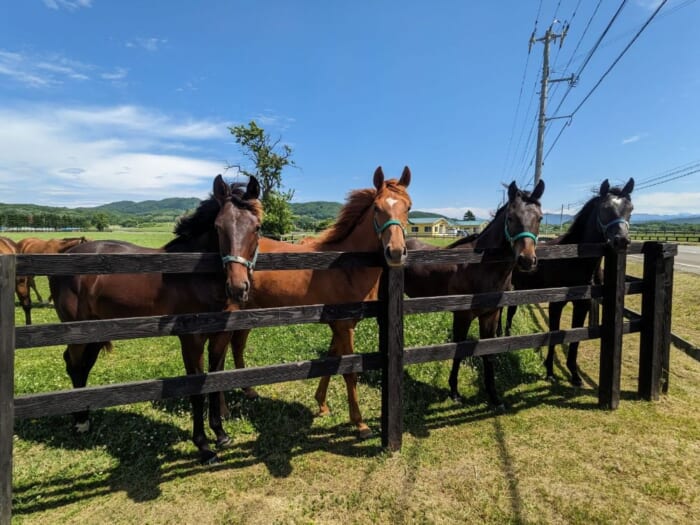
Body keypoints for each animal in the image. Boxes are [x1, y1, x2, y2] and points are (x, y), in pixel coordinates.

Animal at [49, 173, 262, 462]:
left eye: (257, 228)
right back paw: (80, 422)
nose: (238, 288)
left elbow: (215, 382)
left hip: (96, 328)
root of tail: (67, 254)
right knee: (73, 363)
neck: (196, 278)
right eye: (218, 228)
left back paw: (84, 417)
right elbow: (196, 389)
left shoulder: (221, 335)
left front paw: (221, 434)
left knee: (83, 365)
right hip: (77, 330)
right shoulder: (192, 339)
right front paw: (203, 446)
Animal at [216, 166, 412, 440]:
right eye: (376, 207)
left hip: (249, 311)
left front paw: (321, 403)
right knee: (219, 357)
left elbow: (330, 361)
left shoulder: (341, 324)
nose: (395, 252)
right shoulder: (344, 325)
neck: (346, 267)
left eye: (409, 208)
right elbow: (349, 370)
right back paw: (223, 410)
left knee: (237, 346)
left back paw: (249, 391)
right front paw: (360, 423)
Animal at [402, 180, 544, 410]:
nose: (527, 260)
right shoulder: (462, 315)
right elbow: (458, 351)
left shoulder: (490, 315)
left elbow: (488, 353)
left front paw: (494, 397)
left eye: (540, 218)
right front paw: (454, 391)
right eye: (511, 218)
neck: (480, 267)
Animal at [504, 176, 636, 384]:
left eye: (630, 209)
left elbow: (575, 337)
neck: (575, 261)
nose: (621, 240)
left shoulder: (583, 304)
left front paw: (574, 374)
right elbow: (555, 335)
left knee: (510, 312)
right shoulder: (556, 304)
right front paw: (550, 371)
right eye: (605, 208)